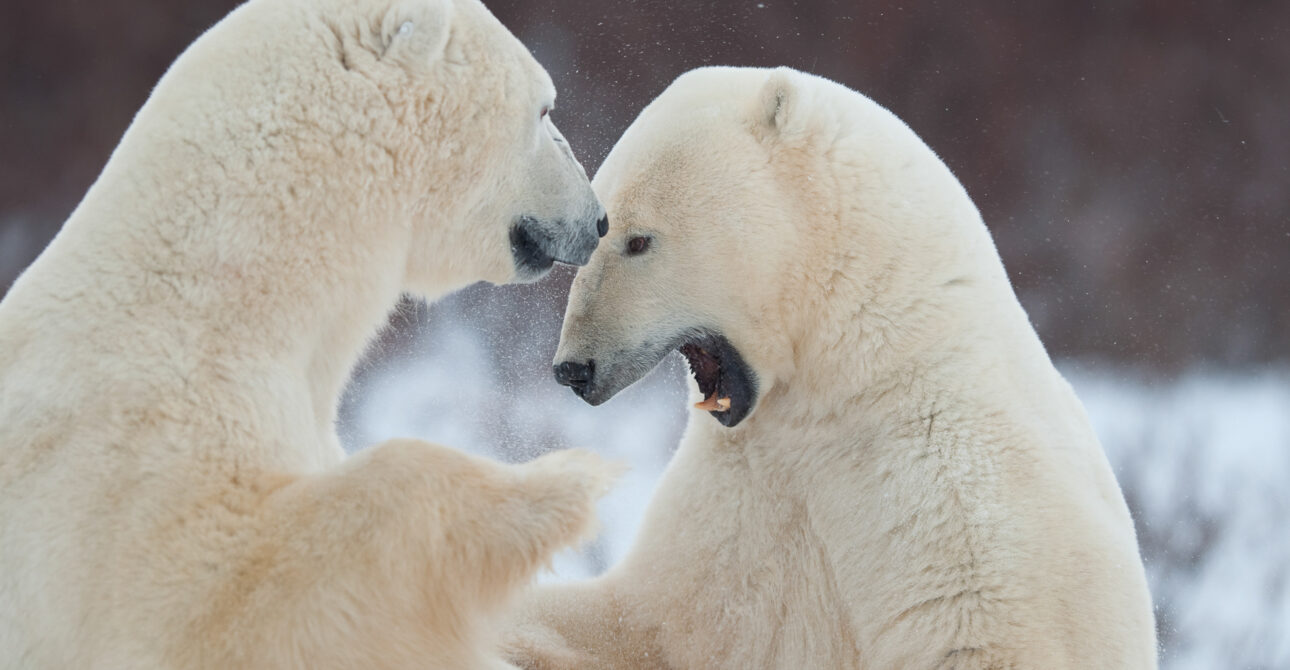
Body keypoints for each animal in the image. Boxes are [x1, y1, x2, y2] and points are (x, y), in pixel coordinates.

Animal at [506, 66, 1158, 669]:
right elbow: (650, 619)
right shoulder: (740, 485)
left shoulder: (954, 495)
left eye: (638, 240)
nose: (574, 368)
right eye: (599, 227)